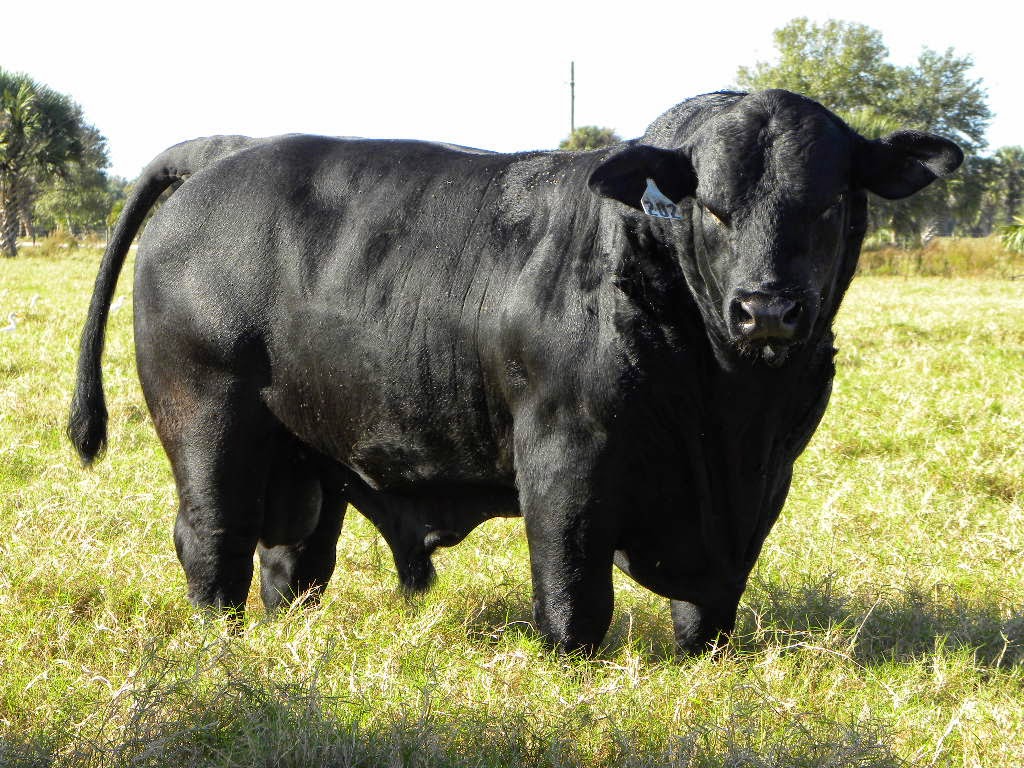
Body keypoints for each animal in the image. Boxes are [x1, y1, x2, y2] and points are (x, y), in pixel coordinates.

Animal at [69, 89, 962, 654]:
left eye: (828, 202)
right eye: (712, 206)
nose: (767, 310)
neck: (731, 407)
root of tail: (230, 150)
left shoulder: (761, 486)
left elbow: (710, 608)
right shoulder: (565, 459)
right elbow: (573, 592)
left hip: (308, 453)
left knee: (293, 559)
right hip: (207, 422)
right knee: (212, 542)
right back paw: (221, 639)